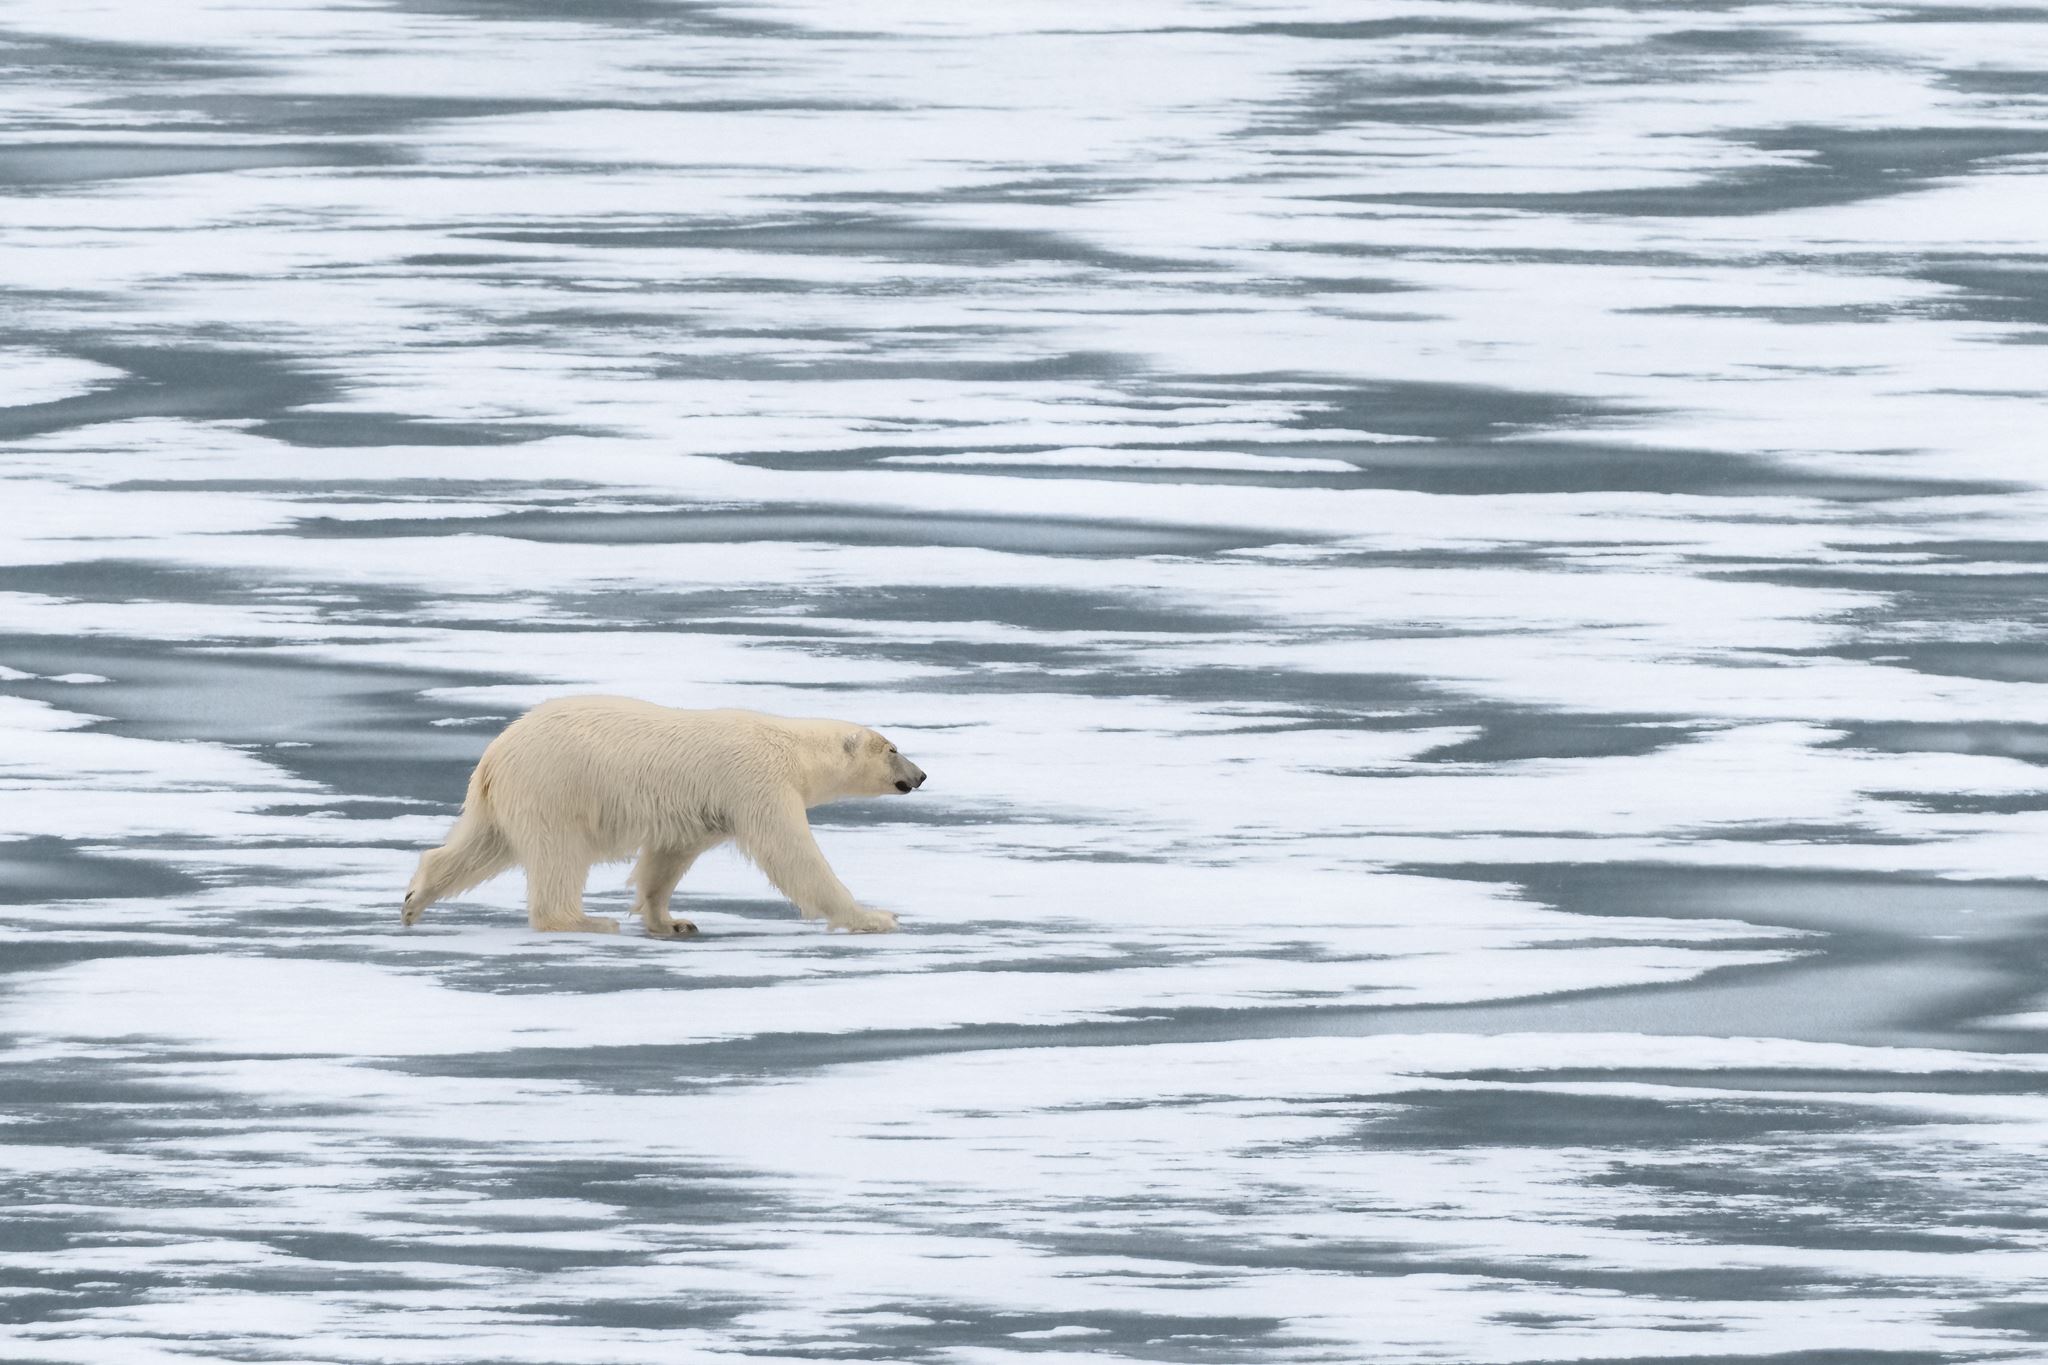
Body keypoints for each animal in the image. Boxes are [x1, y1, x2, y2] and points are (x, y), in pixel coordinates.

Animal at [400, 696, 926, 936]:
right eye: (893, 748)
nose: (920, 775)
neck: (791, 747)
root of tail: (494, 754)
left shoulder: (703, 809)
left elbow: (666, 859)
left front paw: (673, 922)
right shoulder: (756, 782)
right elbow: (792, 855)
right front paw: (875, 916)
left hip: (507, 798)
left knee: (482, 846)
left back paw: (414, 898)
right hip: (555, 787)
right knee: (558, 856)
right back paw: (585, 921)